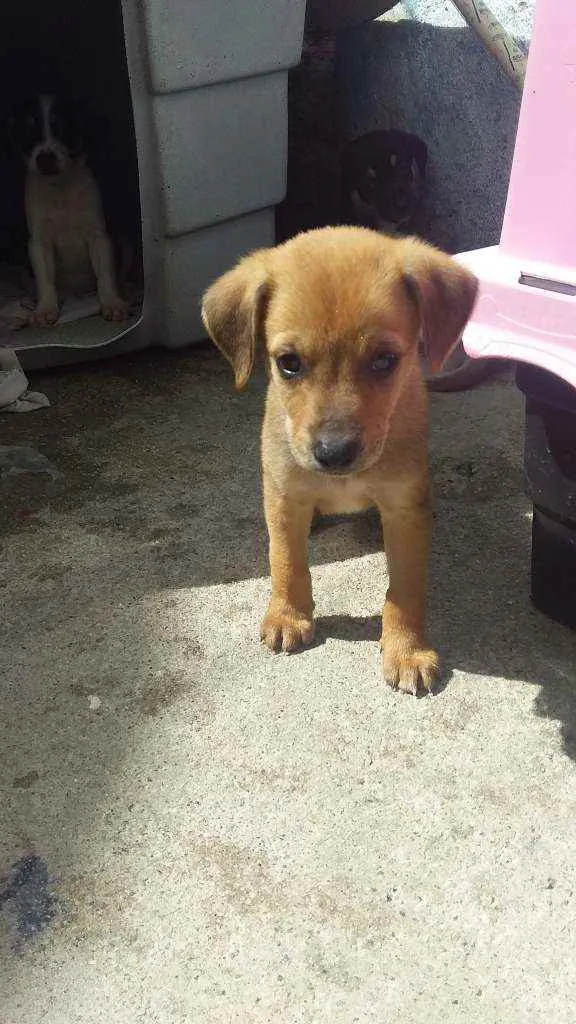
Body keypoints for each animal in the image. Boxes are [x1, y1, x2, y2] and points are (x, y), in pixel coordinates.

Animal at [10, 93, 127, 323]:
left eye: (63, 127)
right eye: (29, 129)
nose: (45, 158)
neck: (59, 187)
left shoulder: (98, 236)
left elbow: (104, 274)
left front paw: (111, 303)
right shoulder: (39, 242)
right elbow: (45, 279)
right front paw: (45, 308)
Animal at [201, 229, 475, 696]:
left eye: (385, 361)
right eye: (288, 363)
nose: (334, 453)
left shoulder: (404, 508)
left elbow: (405, 588)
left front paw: (406, 650)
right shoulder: (283, 495)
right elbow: (285, 560)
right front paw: (288, 615)